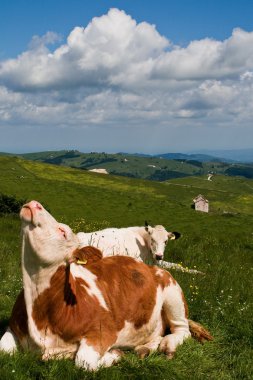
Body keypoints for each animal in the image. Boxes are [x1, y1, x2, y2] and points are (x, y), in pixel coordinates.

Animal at [0, 202, 211, 372]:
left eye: (63, 231)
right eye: (153, 239)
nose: (35, 204)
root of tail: (150, 268)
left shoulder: (104, 331)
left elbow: (83, 362)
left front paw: (114, 355)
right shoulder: (13, 327)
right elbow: (3, 349)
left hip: (173, 294)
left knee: (181, 330)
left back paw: (168, 345)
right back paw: (144, 348)